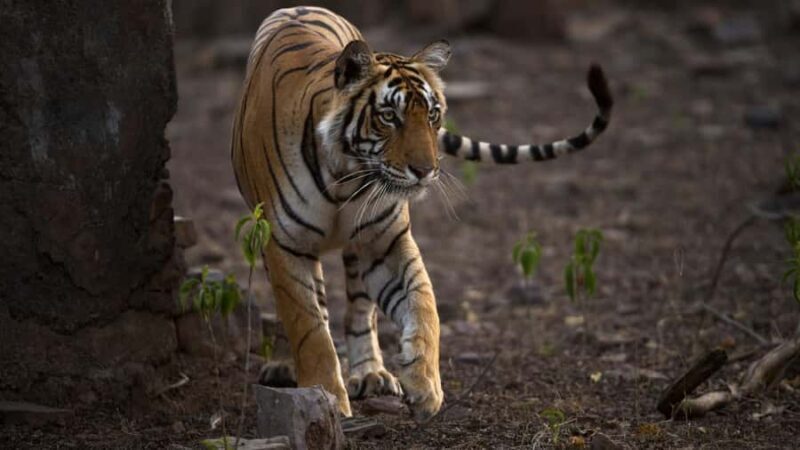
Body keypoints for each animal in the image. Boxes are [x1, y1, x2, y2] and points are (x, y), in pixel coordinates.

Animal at [231, 6, 612, 422]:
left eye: (433, 114)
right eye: (388, 117)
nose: (426, 170)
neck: (345, 175)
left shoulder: (385, 244)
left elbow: (425, 305)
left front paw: (425, 385)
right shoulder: (285, 245)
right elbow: (308, 327)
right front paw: (327, 396)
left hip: (358, 249)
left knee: (360, 310)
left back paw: (371, 373)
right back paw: (288, 366)